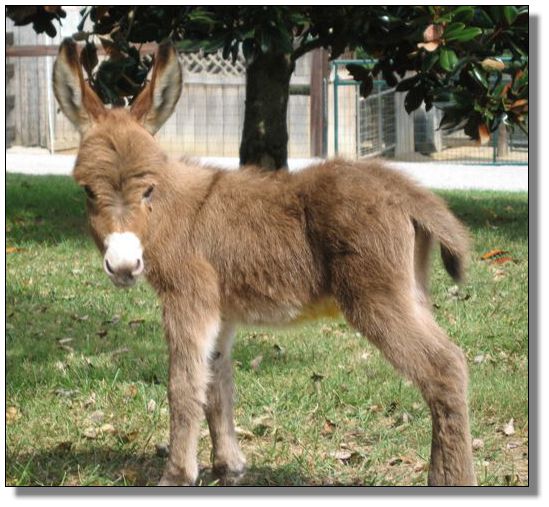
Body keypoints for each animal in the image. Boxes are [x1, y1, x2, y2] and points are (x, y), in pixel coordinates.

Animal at [52, 39, 477, 486]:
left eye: (149, 189)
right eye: (87, 191)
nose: (123, 265)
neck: (174, 214)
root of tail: (403, 188)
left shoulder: (187, 300)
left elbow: (183, 386)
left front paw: (178, 475)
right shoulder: (220, 311)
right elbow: (216, 383)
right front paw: (230, 466)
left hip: (376, 299)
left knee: (445, 367)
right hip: (411, 292)